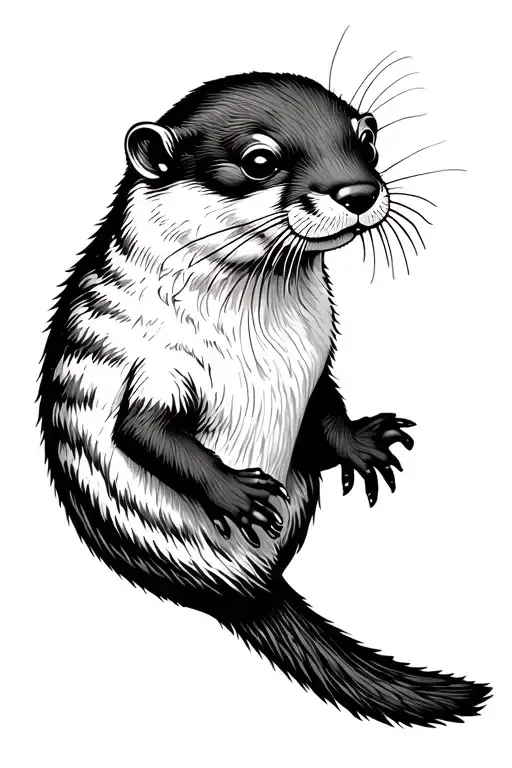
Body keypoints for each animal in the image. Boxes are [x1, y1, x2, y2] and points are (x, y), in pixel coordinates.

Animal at [39, 71, 490, 726]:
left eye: (367, 140)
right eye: (260, 161)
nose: (358, 191)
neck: (267, 347)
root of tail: (247, 585)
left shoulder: (321, 359)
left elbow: (324, 407)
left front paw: (360, 443)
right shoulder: (159, 365)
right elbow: (142, 432)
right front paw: (239, 494)